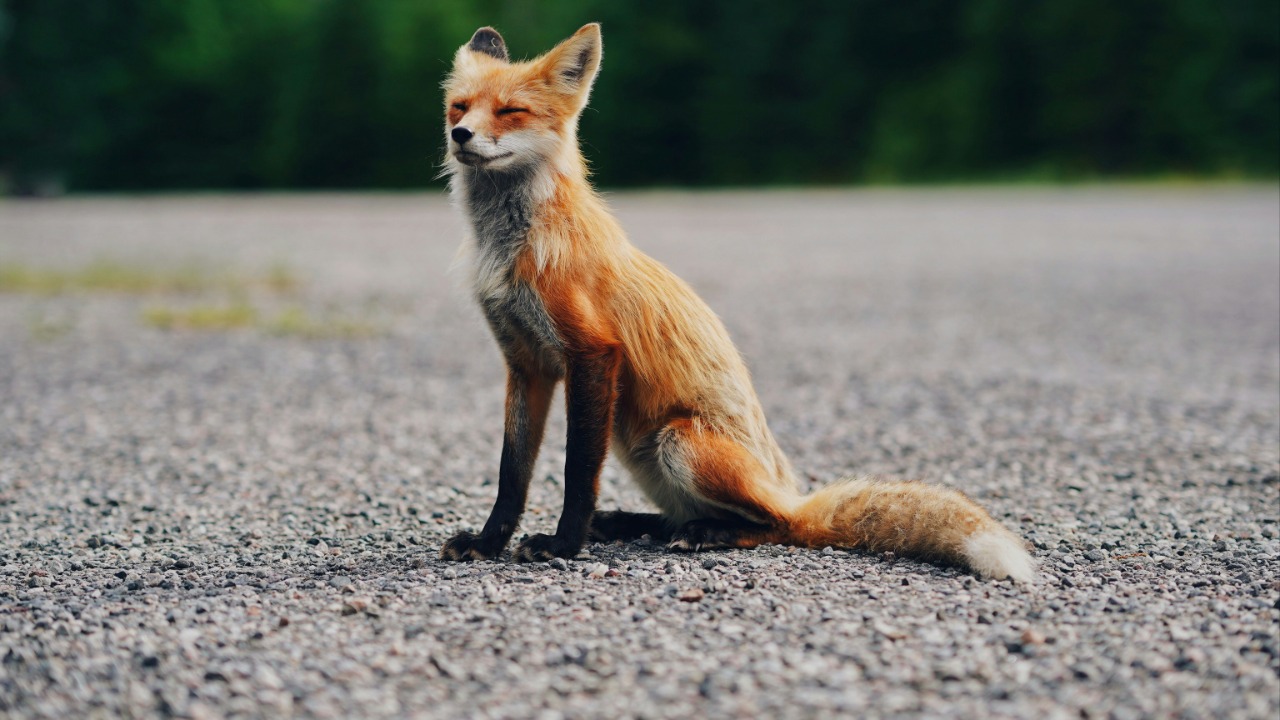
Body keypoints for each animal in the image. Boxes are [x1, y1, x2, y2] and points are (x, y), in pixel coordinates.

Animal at [438, 24, 1035, 583]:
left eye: (511, 111)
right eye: (459, 106)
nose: (459, 134)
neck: (512, 247)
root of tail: (790, 489)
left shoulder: (592, 353)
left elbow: (577, 471)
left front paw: (564, 545)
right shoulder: (527, 363)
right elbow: (511, 472)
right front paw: (489, 542)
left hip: (677, 442)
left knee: (778, 525)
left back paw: (707, 533)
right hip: (636, 444)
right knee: (687, 517)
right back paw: (637, 524)